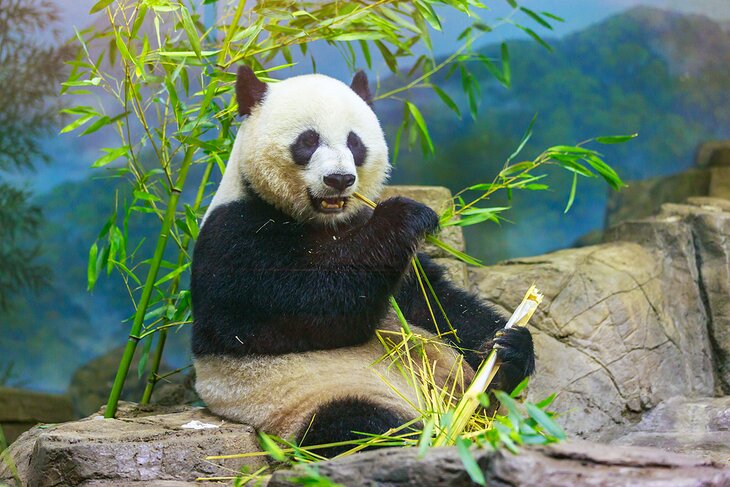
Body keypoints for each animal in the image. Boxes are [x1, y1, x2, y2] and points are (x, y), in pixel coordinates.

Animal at [191, 66, 536, 458]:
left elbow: (434, 303)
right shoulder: (235, 235)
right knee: (362, 427)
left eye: (355, 143)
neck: (323, 222)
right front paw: (405, 215)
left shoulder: (374, 239)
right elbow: (304, 309)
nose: (339, 179)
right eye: (308, 141)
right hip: (309, 401)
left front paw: (508, 345)